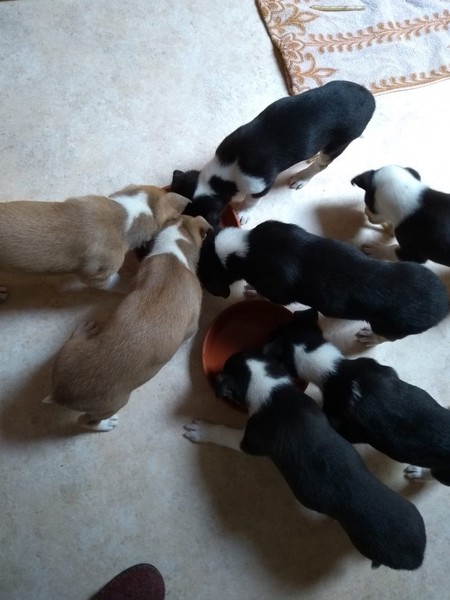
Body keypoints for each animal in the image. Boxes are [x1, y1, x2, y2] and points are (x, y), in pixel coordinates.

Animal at [45, 214, 211, 432]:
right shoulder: (192, 323)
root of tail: (59, 393)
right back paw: (105, 425)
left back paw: (83, 331)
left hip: (67, 353)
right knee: (86, 422)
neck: (173, 250)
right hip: (114, 404)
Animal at [172, 80, 375, 224]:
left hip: (340, 142)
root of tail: (370, 98)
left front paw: (243, 213)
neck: (224, 172)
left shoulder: (260, 185)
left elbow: (250, 201)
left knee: (321, 165)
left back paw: (301, 178)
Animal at [183, 351, 426, 570]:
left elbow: (224, 434)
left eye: (225, 367)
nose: (214, 374)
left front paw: (202, 430)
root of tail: (418, 555)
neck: (267, 385)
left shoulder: (251, 441)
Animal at [197, 220, 449, 343]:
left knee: (386, 338)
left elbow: (266, 293)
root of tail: (443, 304)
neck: (246, 250)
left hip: (391, 326)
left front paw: (251, 290)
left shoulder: (278, 291)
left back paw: (369, 337)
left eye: (205, 277)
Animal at [264, 308, 450, 485]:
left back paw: (418, 473)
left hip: (442, 472)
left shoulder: (339, 423)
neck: (333, 370)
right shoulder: (380, 368)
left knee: (434, 476)